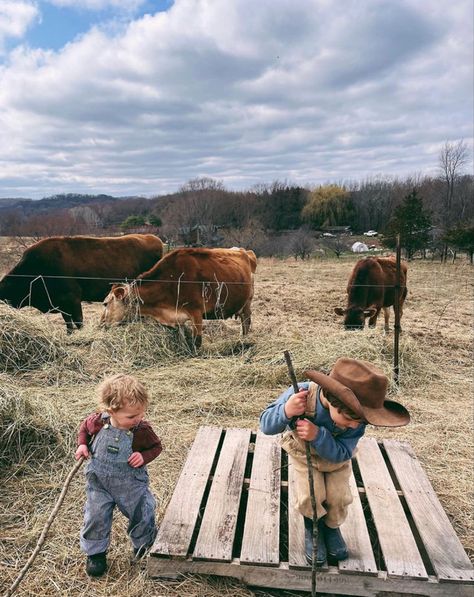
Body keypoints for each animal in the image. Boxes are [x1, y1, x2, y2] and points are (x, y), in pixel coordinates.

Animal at [0, 234, 163, 336]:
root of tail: (154, 239)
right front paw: (69, 334)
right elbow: (68, 321)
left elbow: (78, 320)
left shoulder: (72, 299)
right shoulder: (62, 304)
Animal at [99, 247, 256, 350]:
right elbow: (183, 341)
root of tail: (244, 251)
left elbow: (196, 342)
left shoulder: (196, 312)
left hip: (247, 302)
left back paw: (244, 340)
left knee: (246, 322)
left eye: (105, 303)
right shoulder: (177, 317)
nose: (101, 324)